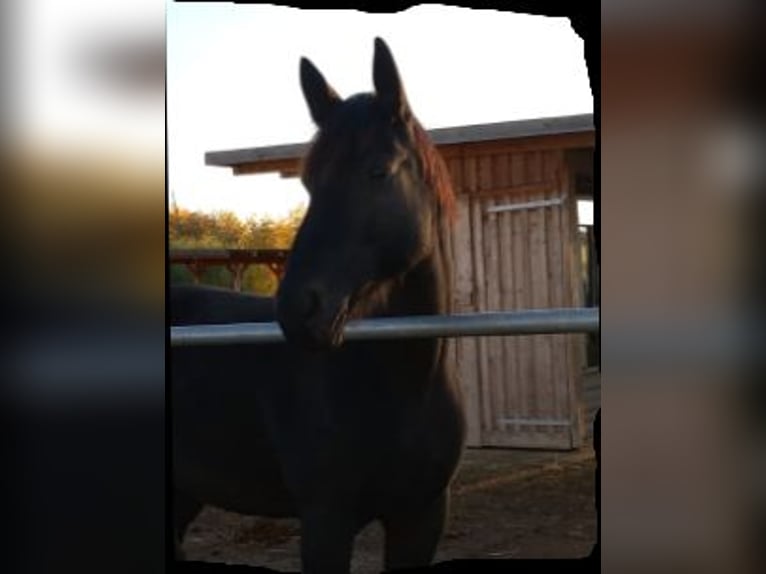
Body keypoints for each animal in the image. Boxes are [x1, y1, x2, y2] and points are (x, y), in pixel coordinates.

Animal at [171, 38, 466, 574]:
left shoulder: (422, 517)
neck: (402, 383)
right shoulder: (326, 520)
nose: (298, 310)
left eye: (378, 171)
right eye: (308, 181)